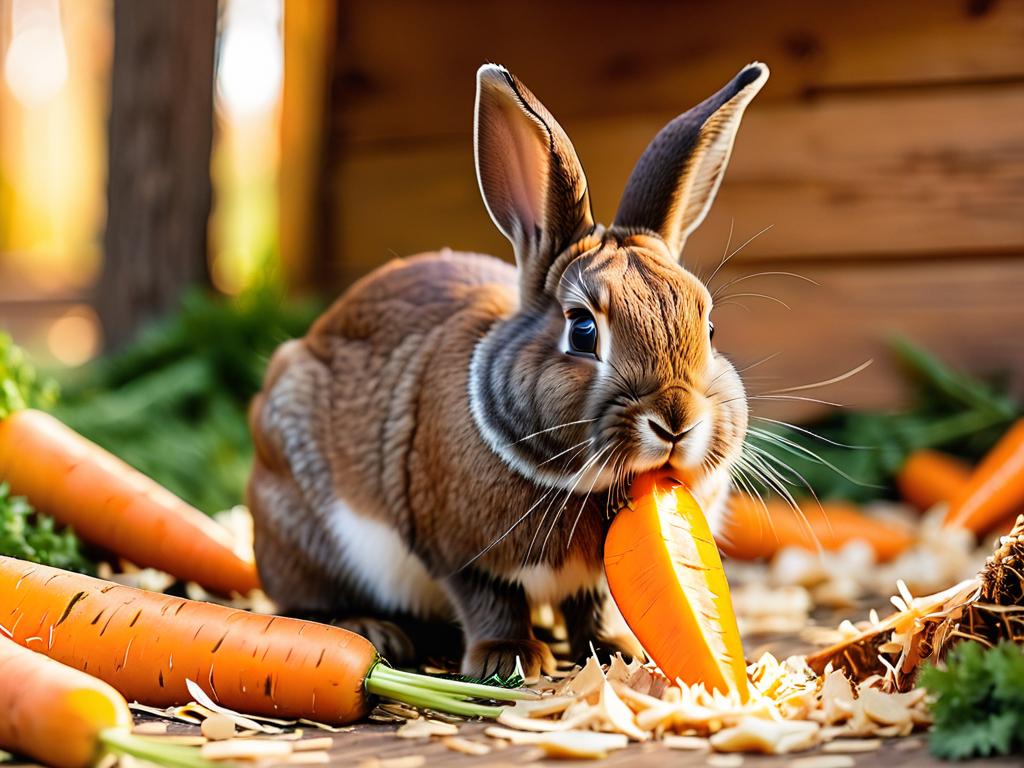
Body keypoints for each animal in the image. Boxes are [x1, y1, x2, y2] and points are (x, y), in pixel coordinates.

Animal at [249, 63, 770, 684]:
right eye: (582, 330)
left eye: (708, 326)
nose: (676, 421)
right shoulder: (461, 554)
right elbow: (491, 599)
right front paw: (510, 659)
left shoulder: (594, 577)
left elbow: (592, 605)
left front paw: (615, 650)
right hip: (301, 522)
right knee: (303, 600)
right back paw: (375, 629)